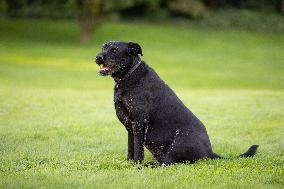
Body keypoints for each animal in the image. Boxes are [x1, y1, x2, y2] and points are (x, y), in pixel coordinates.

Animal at [95, 41, 258, 164]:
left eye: (114, 50)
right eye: (103, 47)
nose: (98, 57)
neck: (128, 76)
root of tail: (210, 152)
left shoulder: (139, 123)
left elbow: (138, 150)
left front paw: (137, 165)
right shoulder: (130, 127)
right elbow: (131, 148)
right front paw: (129, 163)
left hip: (179, 140)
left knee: (167, 163)